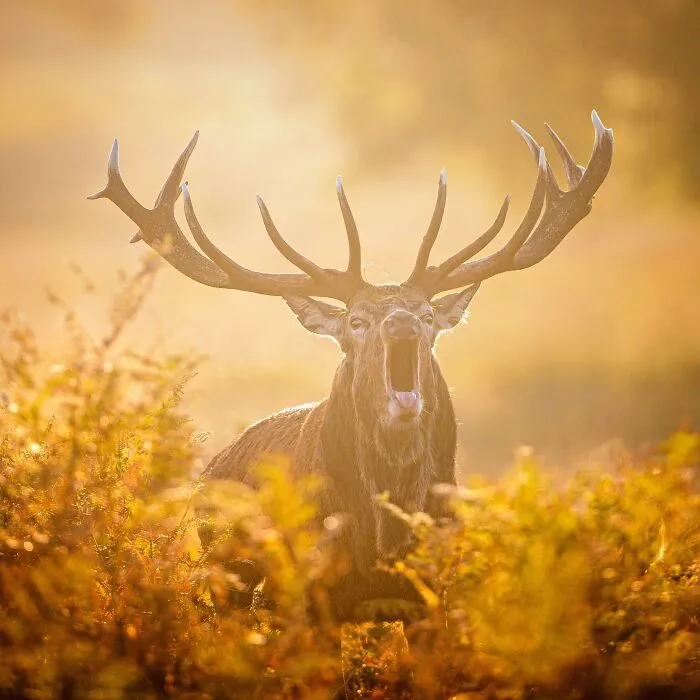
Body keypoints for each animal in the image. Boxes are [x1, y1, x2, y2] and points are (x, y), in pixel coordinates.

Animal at [89, 112, 613, 622]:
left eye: (427, 315)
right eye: (358, 321)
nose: (402, 322)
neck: (382, 540)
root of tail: (210, 470)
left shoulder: (434, 590)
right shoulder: (313, 593)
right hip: (229, 571)